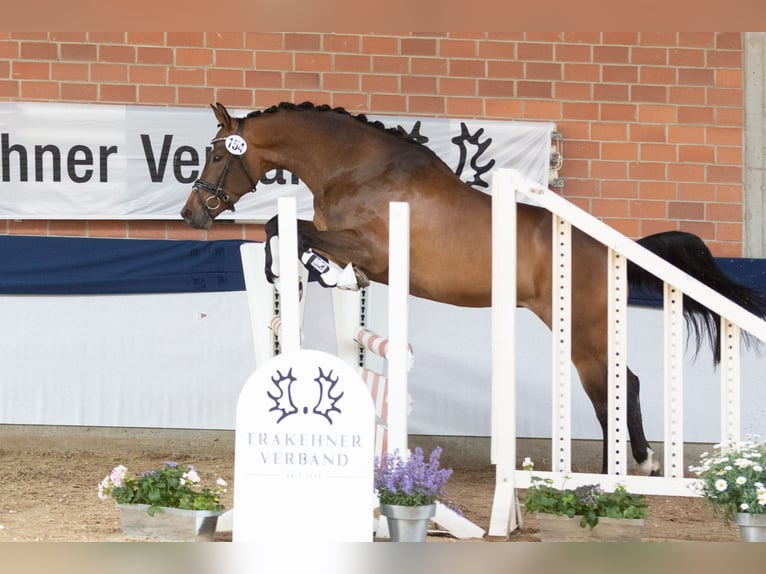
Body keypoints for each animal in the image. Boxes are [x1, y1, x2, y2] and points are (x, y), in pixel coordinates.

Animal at [182, 101, 766, 474]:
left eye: (217, 155)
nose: (192, 214)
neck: (358, 169)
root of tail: (614, 247)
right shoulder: (353, 248)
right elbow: (286, 233)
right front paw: (305, 271)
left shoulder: (371, 248)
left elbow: (283, 229)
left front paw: (305, 270)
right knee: (626, 385)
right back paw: (633, 467)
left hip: (580, 329)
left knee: (613, 391)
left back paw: (613, 474)